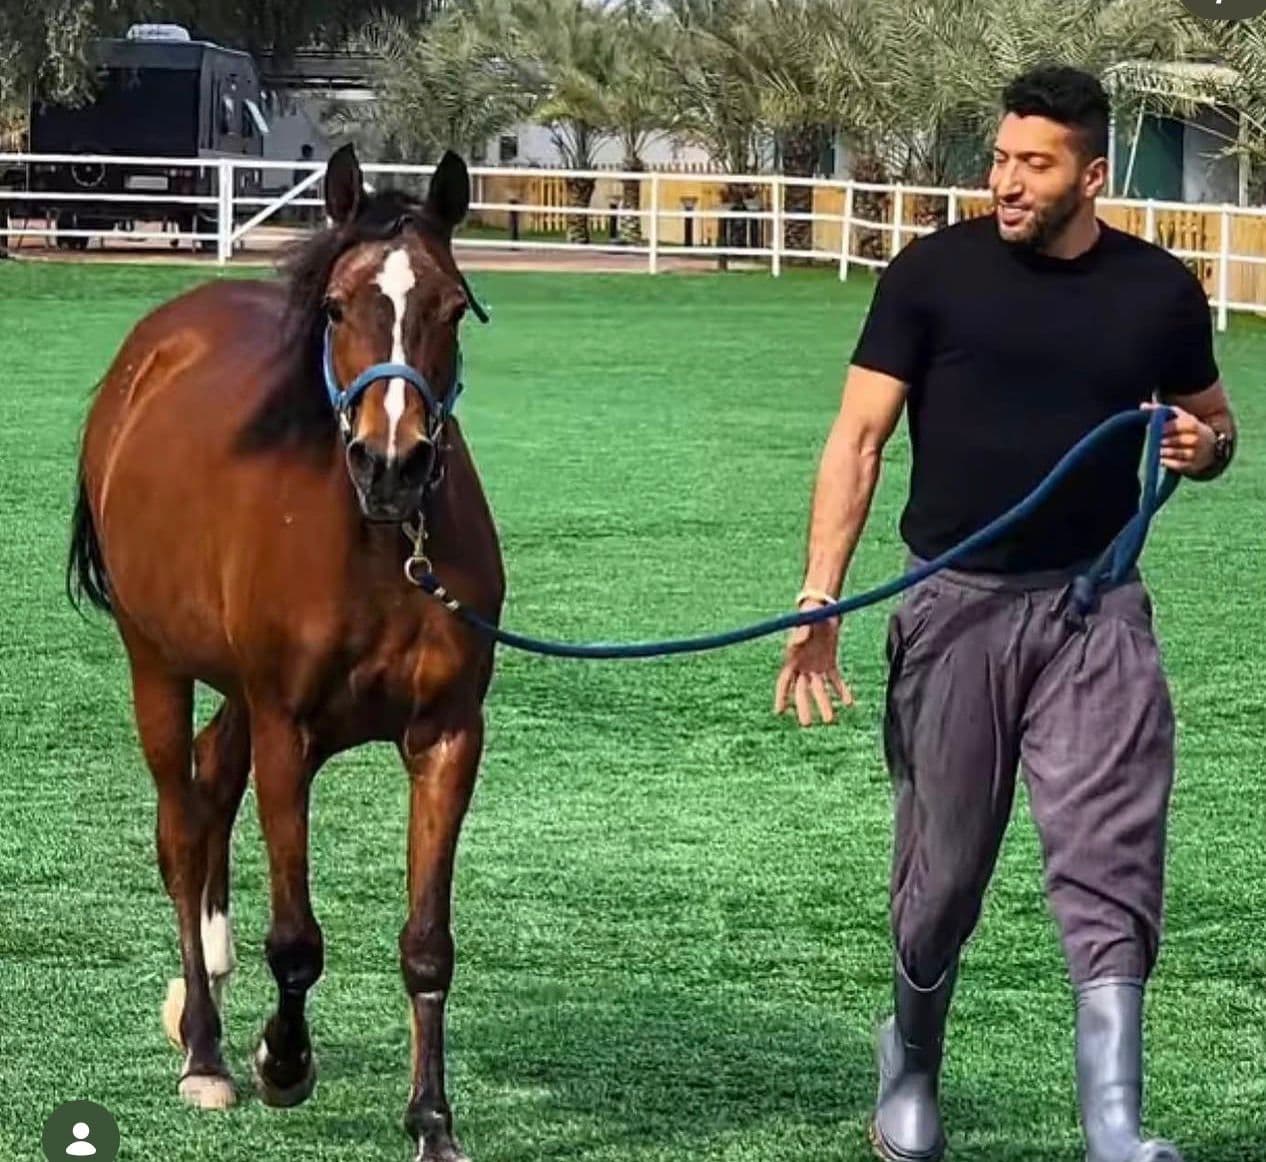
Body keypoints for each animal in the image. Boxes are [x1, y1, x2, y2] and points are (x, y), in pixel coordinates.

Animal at [67, 143, 504, 1161]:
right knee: (183, 828)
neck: (381, 548)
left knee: (210, 783)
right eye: (337, 307)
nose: (394, 464)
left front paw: (432, 1119)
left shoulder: (447, 738)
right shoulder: (287, 732)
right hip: (157, 662)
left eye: (453, 306)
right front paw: (282, 1061)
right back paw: (206, 1051)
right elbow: (297, 937)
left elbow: (428, 943)